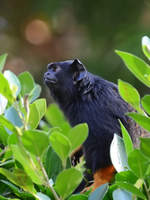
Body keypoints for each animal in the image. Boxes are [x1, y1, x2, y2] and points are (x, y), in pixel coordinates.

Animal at [43, 59, 148, 191]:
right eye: (49, 69)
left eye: (55, 69)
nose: (46, 74)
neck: (81, 94)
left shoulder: (94, 109)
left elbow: (108, 138)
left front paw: (100, 180)